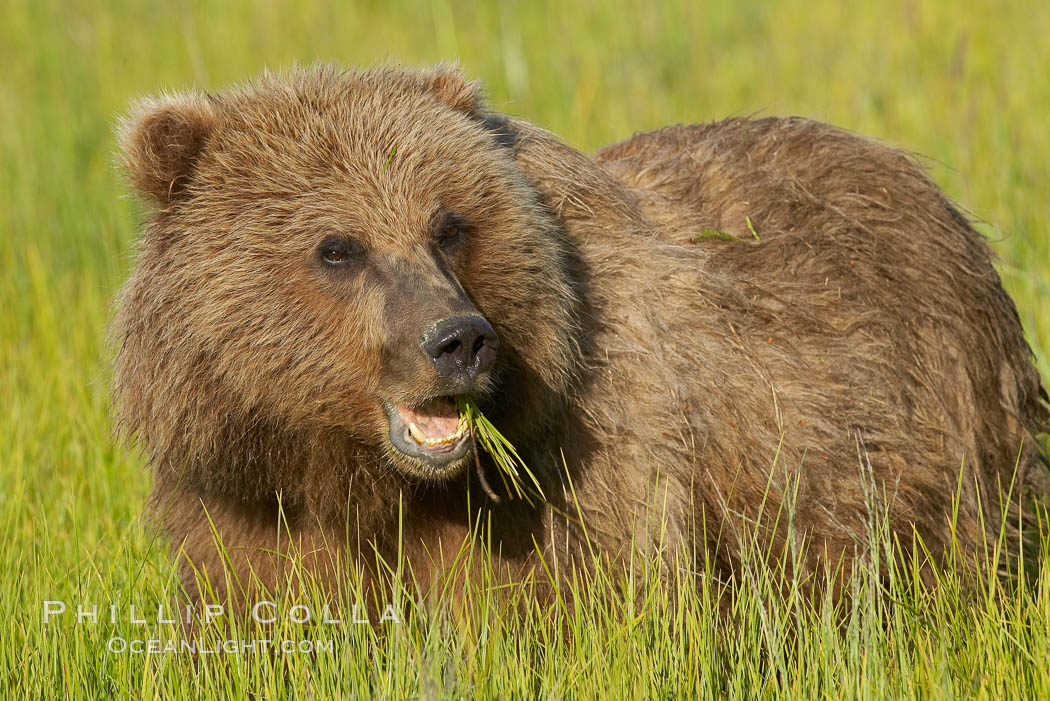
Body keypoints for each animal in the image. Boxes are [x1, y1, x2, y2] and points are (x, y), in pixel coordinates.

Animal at [110, 64, 1045, 612]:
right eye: (337, 246)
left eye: (449, 224)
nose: (458, 339)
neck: (360, 478)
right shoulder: (246, 502)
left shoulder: (583, 474)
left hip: (943, 430)